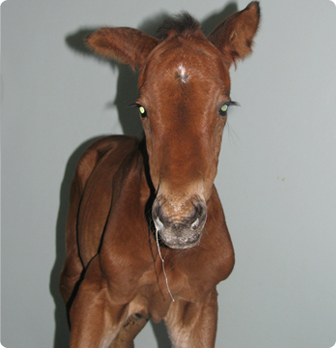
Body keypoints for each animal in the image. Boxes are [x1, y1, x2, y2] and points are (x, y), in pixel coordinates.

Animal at [59, 2, 260, 348]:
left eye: (224, 107)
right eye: (142, 109)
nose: (178, 221)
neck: (168, 256)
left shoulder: (198, 304)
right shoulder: (94, 294)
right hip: (72, 273)